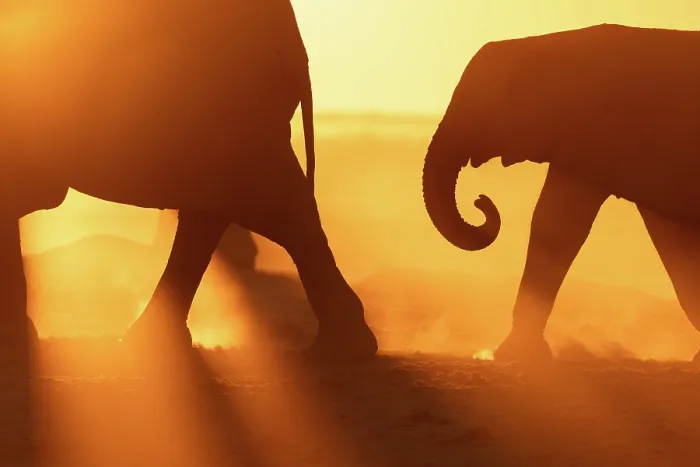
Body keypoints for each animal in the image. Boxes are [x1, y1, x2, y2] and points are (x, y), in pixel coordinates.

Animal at [422, 23, 700, 363]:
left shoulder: (600, 135)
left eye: (482, 105)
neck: (552, 44)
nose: (480, 201)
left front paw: (516, 353)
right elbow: (672, 243)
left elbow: (557, 227)